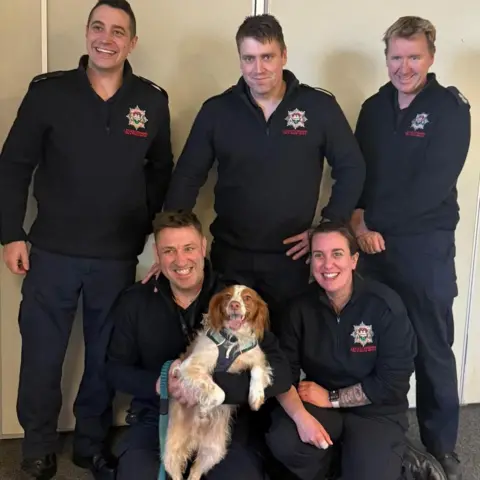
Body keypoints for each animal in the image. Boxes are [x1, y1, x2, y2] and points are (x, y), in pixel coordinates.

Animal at [162, 284, 272, 480]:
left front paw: (256, 397)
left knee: (195, 472)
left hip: (214, 450)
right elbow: (218, 392)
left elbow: (258, 371)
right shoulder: (190, 366)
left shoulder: (257, 358)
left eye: (247, 298)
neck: (233, 338)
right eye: (228, 296)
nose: (235, 305)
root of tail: (195, 438)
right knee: (175, 471)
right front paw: (204, 408)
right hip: (172, 449)